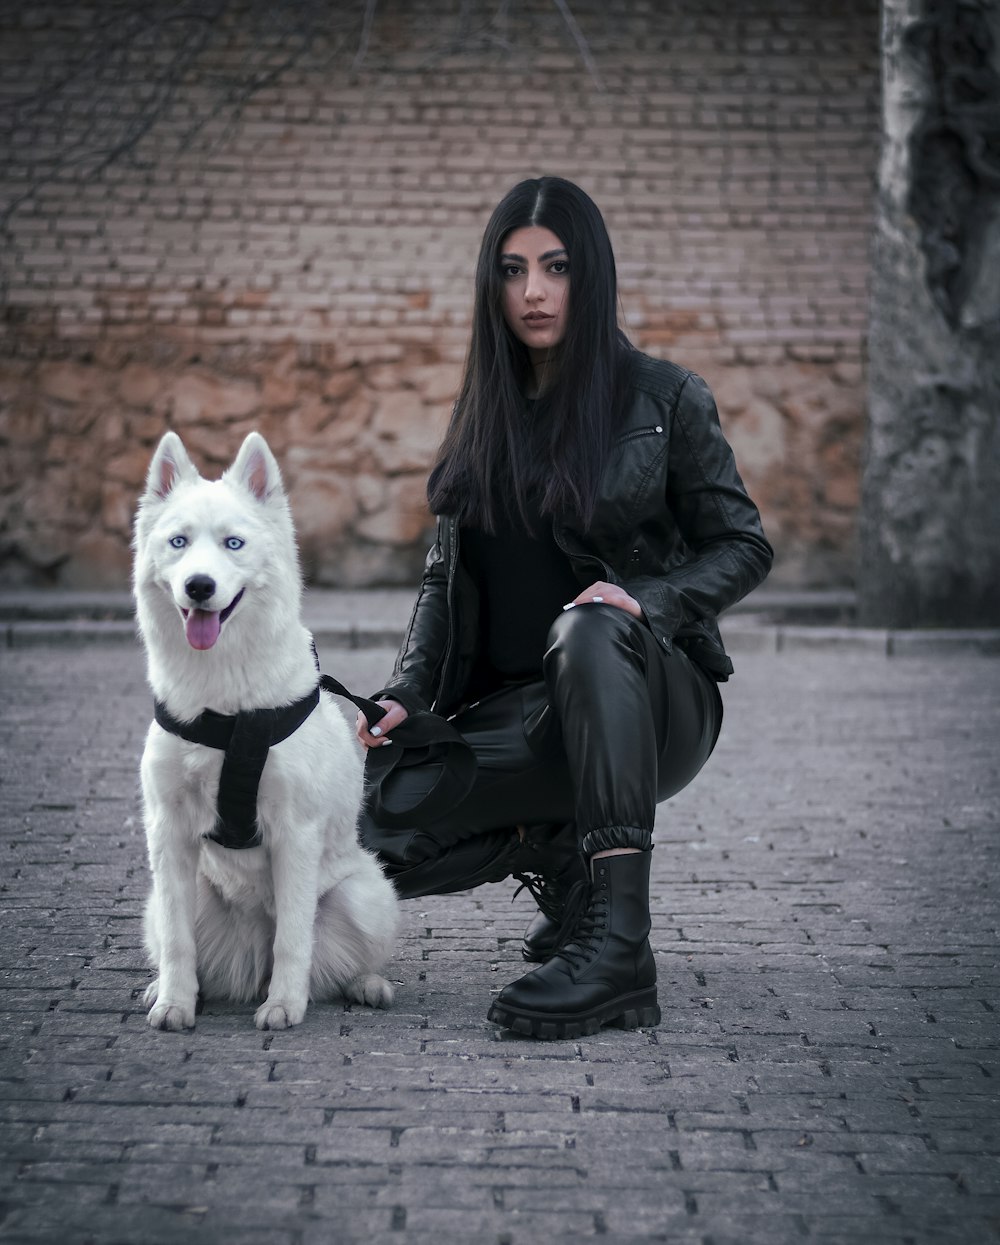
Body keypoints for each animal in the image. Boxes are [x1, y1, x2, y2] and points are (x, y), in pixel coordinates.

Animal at [133, 428, 398, 1030]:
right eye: (179, 542)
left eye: (233, 544)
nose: (199, 586)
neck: (227, 710)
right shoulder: (169, 833)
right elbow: (179, 942)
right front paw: (174, 1003)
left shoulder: (294, 832)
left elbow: (294, 939)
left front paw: (284, 1005)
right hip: (162, 900)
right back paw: (168, 988)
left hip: (366, 896)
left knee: (337, 960)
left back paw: (364, 985)